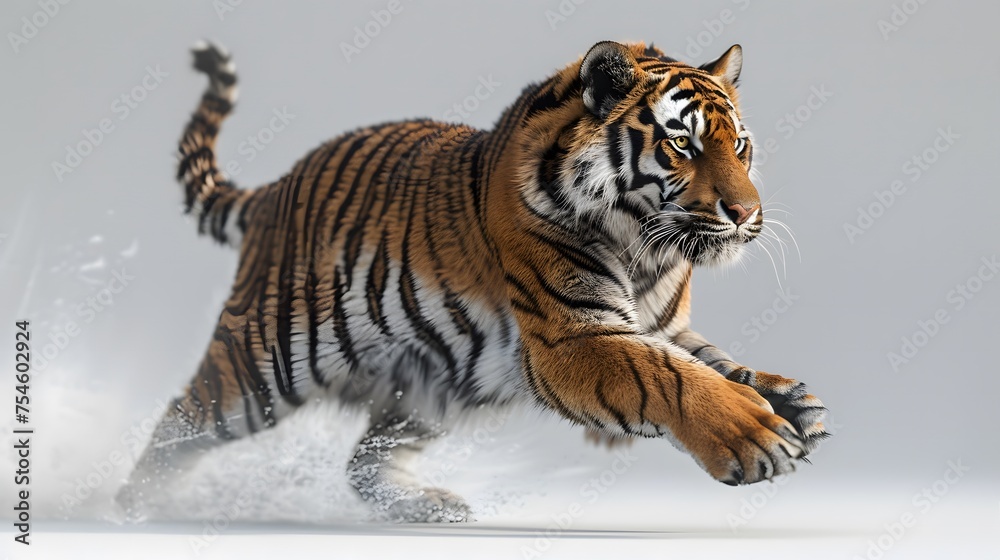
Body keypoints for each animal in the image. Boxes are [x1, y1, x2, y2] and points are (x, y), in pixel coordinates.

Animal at [116, 39, 829, 523]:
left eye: (740, 146)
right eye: (683, 145)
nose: (747, 214)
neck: (645, 249)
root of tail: (273, 190)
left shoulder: (663, 325)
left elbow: (717, 363)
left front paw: (793, 402)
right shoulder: (572, 336)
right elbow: (671, 377)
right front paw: (753, 434)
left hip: (433, 382)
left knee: (364, 460)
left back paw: (428, 506)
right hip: (264, 365)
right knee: (179, 423)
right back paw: (132, 503)